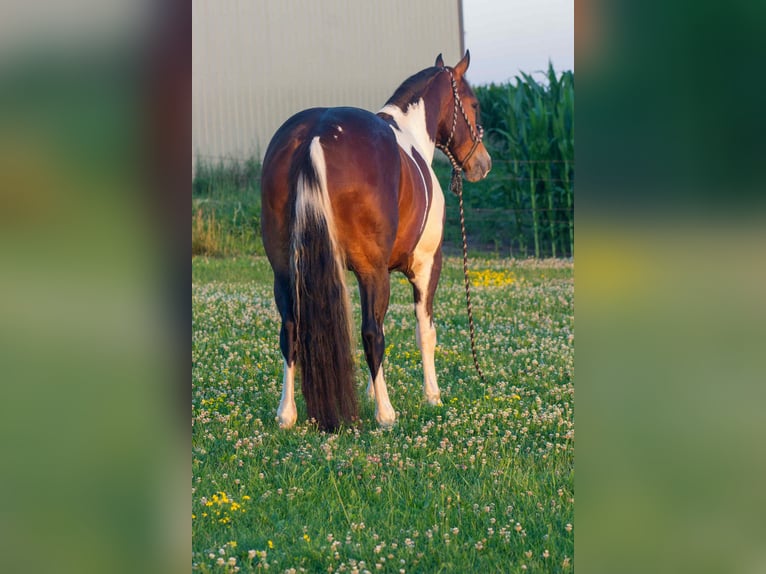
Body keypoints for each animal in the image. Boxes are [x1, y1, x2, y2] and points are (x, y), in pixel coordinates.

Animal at [260, 52, 491, 431]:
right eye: (474, 104)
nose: (483, 163)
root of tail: (315, 135)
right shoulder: (425, 266)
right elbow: (422, 331)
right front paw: (432, 396)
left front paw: (371, 392)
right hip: (373, 271)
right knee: (371, 334)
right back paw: (386, 415)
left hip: (284, 271)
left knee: (290, 329)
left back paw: (286, 414)